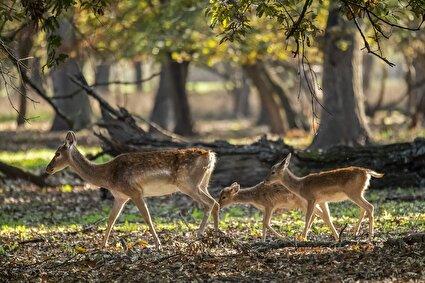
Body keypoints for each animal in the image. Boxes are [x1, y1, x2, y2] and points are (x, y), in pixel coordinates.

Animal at [46, 131, 219, 251]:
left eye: (57, 153)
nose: (48, 168)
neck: (108, 177)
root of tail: (210, 156)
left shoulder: (134, 191)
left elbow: (147, 217)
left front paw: (158, 245)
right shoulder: (120, 196)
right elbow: (111, 219)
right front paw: (102, 246)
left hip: (188, 183)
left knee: (209, 203)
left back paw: (199, 235)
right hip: (203, 183)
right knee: (216, 202)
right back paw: (216, 236)